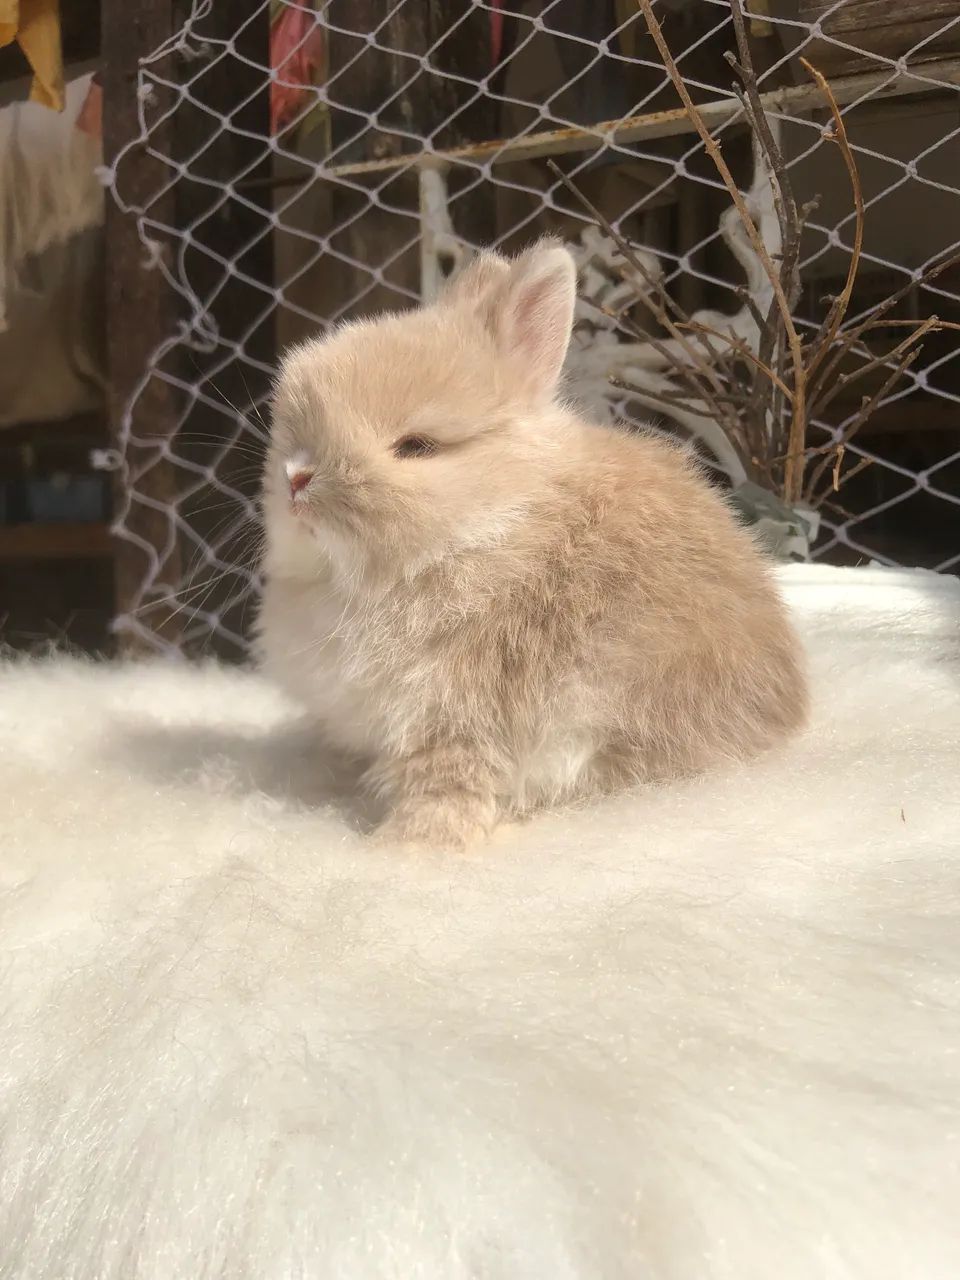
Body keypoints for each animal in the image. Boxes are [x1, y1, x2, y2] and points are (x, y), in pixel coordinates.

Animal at [257, 239, 808, 848]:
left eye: (417, 446)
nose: (297, 480)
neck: (489, 526)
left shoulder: (457, 716)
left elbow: (449, 785)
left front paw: (411, 844)